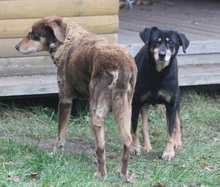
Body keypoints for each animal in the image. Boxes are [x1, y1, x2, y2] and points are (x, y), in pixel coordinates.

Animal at [15, 16, 138, 178]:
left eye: (32, 35)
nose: (16, 47)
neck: (66, 39)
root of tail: (122, 65)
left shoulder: (65, 100)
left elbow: (60, 136)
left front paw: (55, 155)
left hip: (96, 112)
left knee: (101, 146)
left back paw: (100, 174)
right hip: (125, 109)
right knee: (126, 140)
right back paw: (123, 174)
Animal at [131, 25, 189, 161]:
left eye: (171, 43)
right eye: (156, 41)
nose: (162, 54)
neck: (158, 73)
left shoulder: (171, 105)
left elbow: (170, 132)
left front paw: (168, 153)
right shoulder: (136, 103)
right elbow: (134, 129)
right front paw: (135, 148)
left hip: (177, 101)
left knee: (178, 122)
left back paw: (177, 142)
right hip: (142, 103)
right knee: (144, 126)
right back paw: (146, 146)